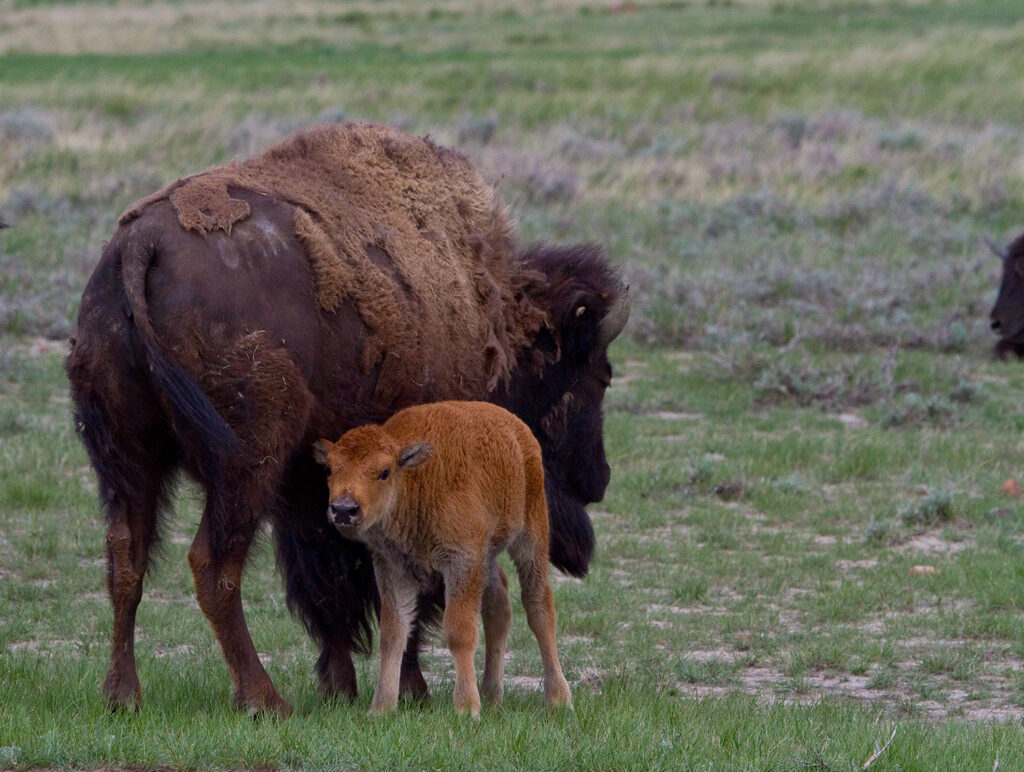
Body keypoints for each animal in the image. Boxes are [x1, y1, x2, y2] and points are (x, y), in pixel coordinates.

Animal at [315, 400, 572, 718]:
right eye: (329, 468)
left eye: (384, 472)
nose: (343, 509)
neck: (414, 479)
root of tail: (517, 428)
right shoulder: (393, 569)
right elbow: (392, 633)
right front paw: (381, 708)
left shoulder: (461, 562)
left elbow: (458, 631)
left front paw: (465, 708)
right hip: (486, 555)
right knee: (498, 605)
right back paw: (492, 696)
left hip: (531, 535)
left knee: (538, 605)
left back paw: (558, 698)